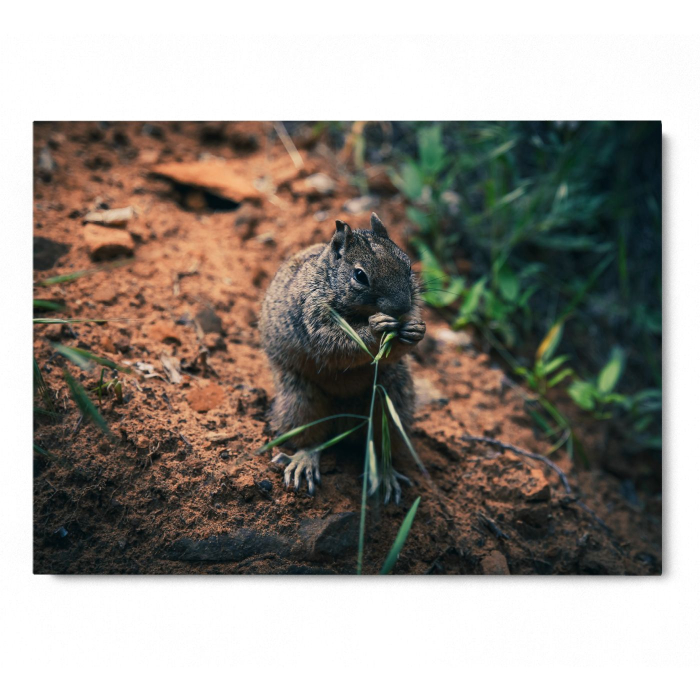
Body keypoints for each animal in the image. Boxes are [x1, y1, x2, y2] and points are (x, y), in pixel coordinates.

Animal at [259, 212, 425, 503]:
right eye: (360, 275)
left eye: (407, 265)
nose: (402, 307)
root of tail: (344, 420)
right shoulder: (314, 317)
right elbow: (338, 345)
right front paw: (375, 328)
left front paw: (414, 329)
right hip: (300, 402)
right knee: (311, 440)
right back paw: (304, 461)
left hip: (394, 402)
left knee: (380, 444)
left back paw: (385, 474)